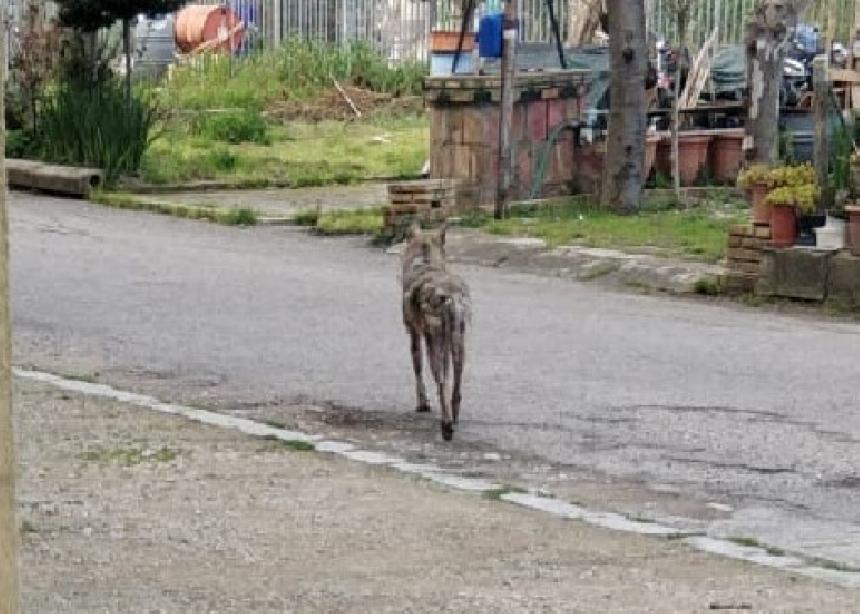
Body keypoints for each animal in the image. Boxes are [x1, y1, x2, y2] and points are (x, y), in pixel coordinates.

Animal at [402, 224, 474, 440]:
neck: (426, 262)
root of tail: (451, 295)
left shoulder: (415, 335)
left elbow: (418, 370)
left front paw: (422, 404)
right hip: (458, 342)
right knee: (456, 383)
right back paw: (454, 416)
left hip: (437, 342)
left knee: (442, 381)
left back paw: (446, 425)